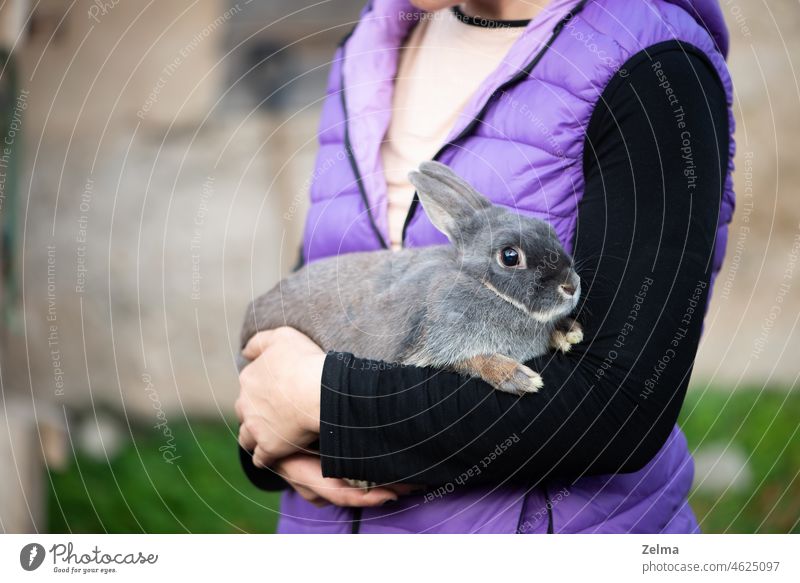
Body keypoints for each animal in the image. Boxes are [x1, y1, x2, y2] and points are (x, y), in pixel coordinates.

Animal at [238, 162, 580, 394]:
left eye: (549, 230)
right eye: (510, 256)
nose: (571, 286)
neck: (484, 286)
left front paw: (568, 333)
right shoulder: (432, 348)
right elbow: (472, 360)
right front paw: (521, 378)